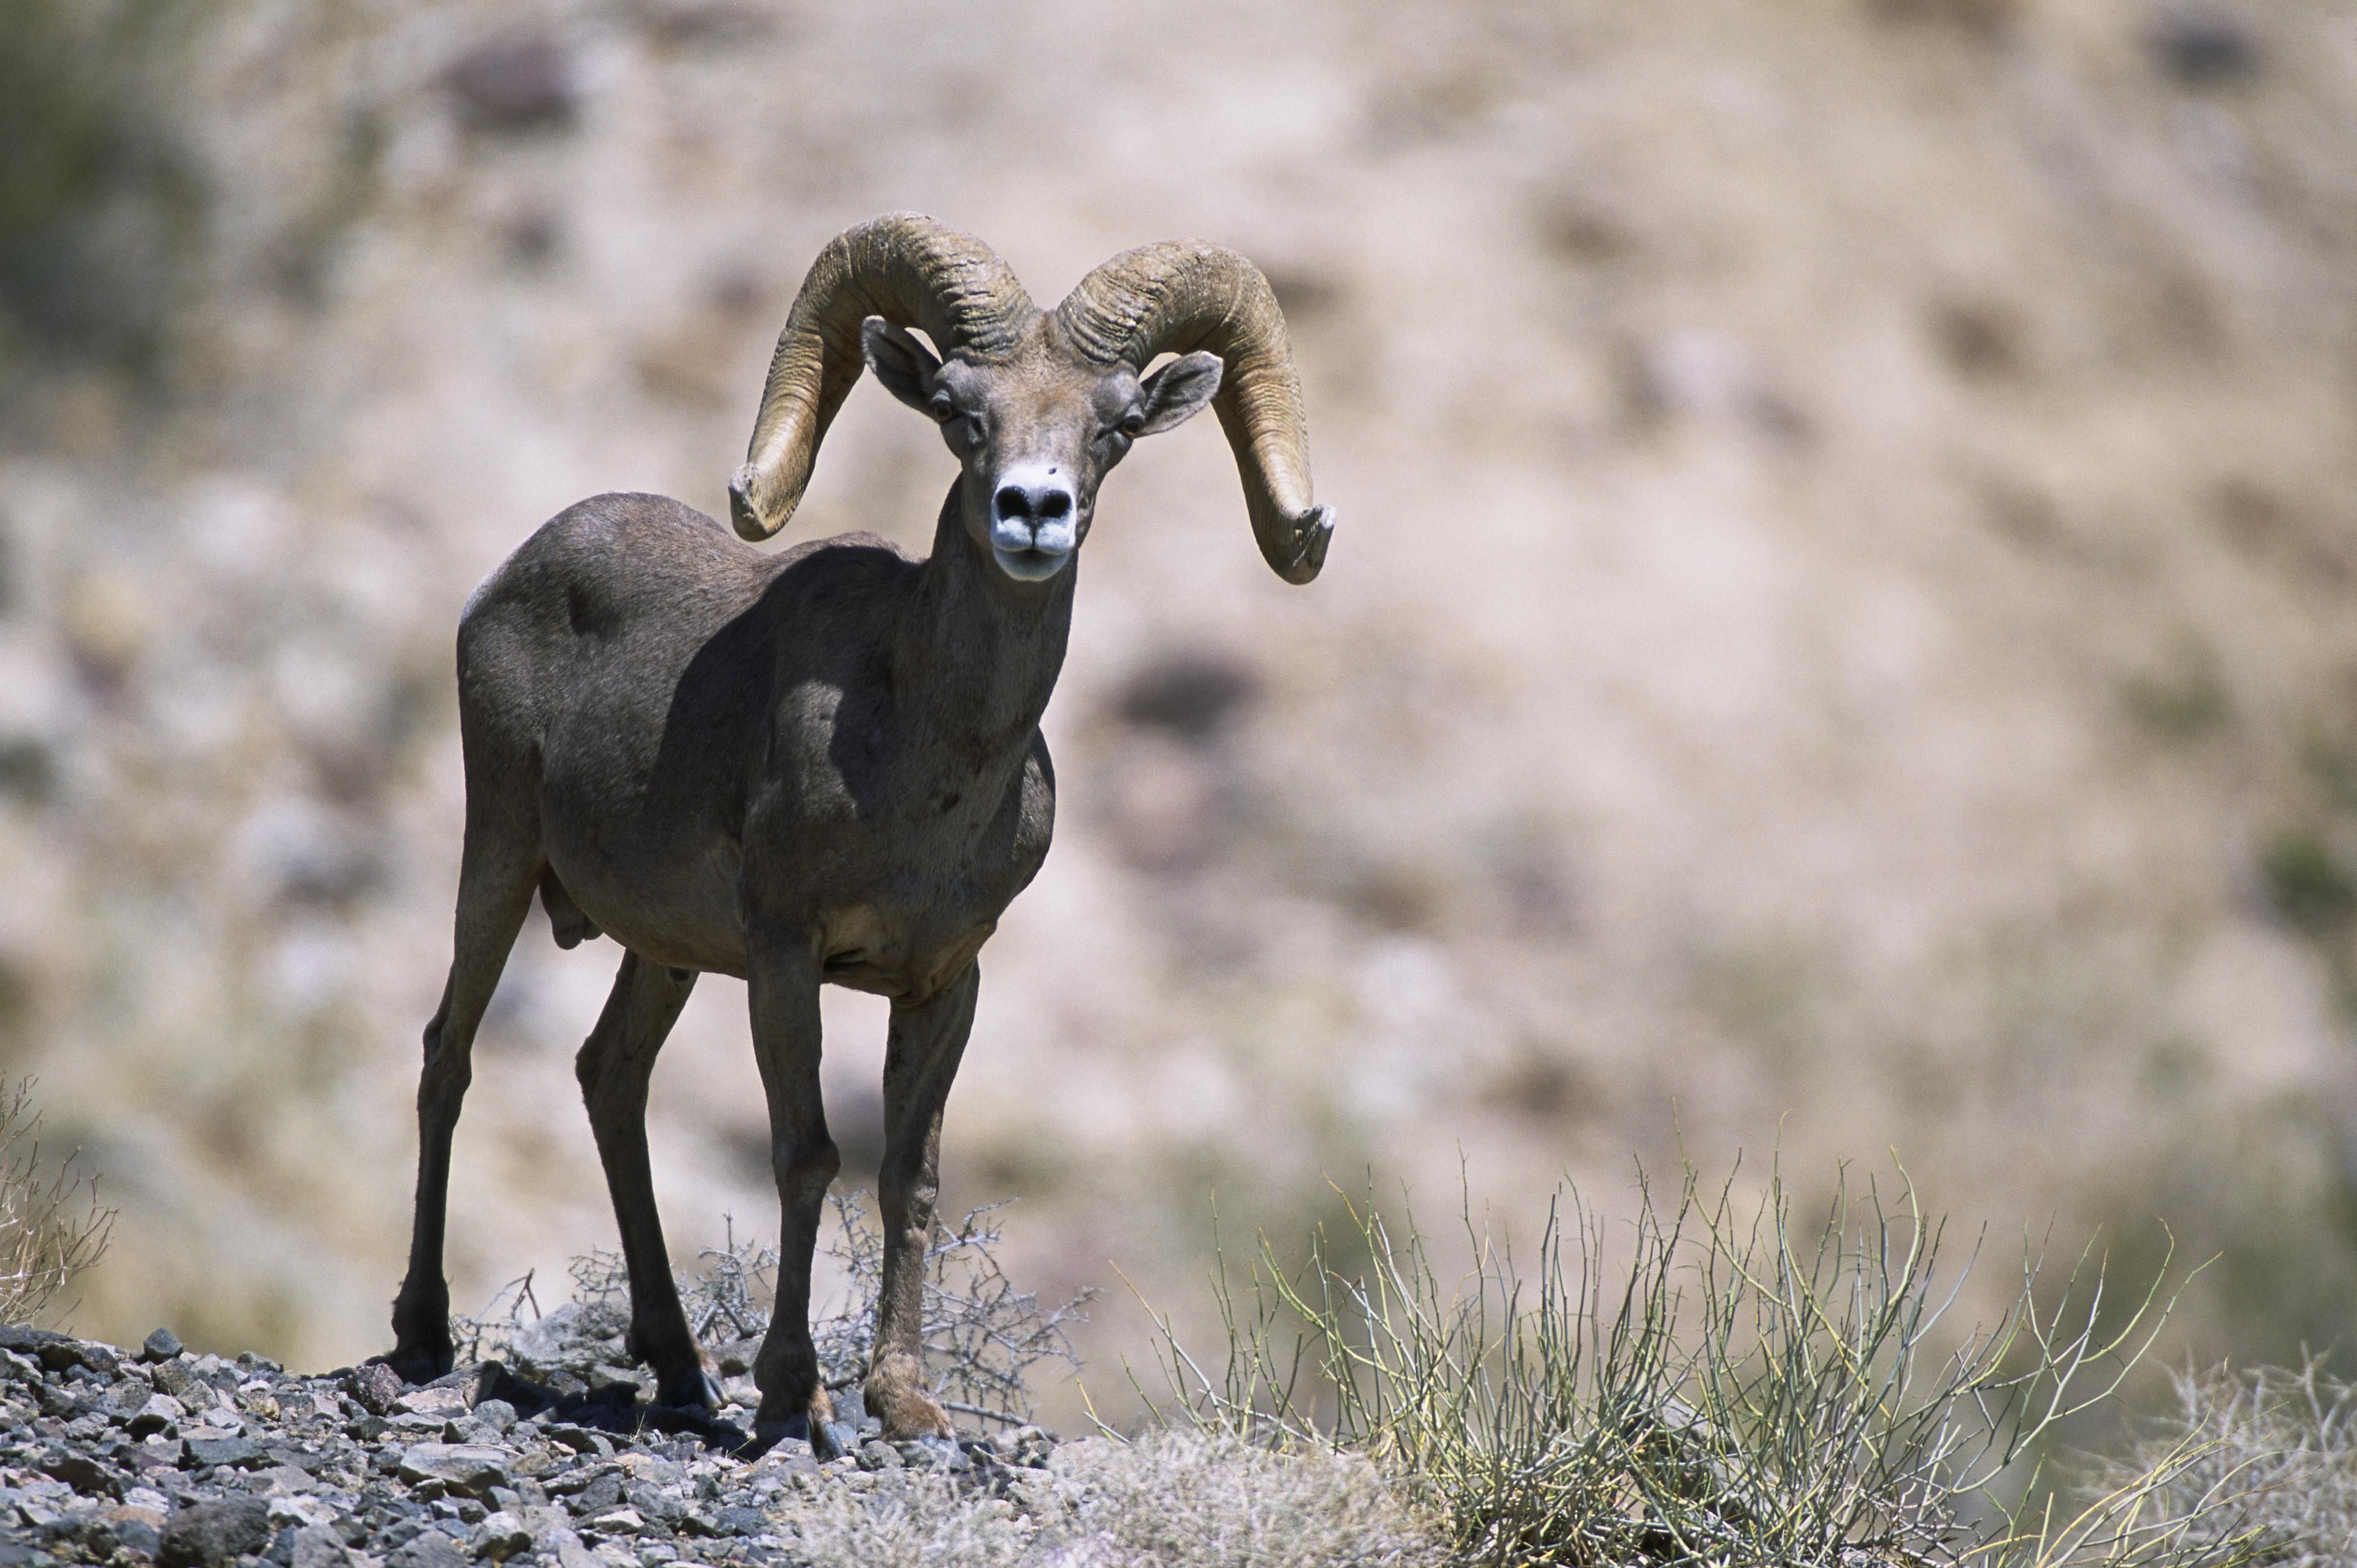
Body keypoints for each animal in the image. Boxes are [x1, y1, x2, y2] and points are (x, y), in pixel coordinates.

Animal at [385, 213, 1336, 1453]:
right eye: (961, 411)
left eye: (1115, 426)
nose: (1033, 511)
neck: (923, 773)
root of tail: (503, 580)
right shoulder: (787, 954)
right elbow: (807, 1155)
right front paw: (795, 1392)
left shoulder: (944, 981)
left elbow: (907, 1176)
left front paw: (902, 1396)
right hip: (497, 853)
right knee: (448, 1054)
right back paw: (423, 1332)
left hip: (662, 952)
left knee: (609, 1077)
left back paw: (679, 1369)